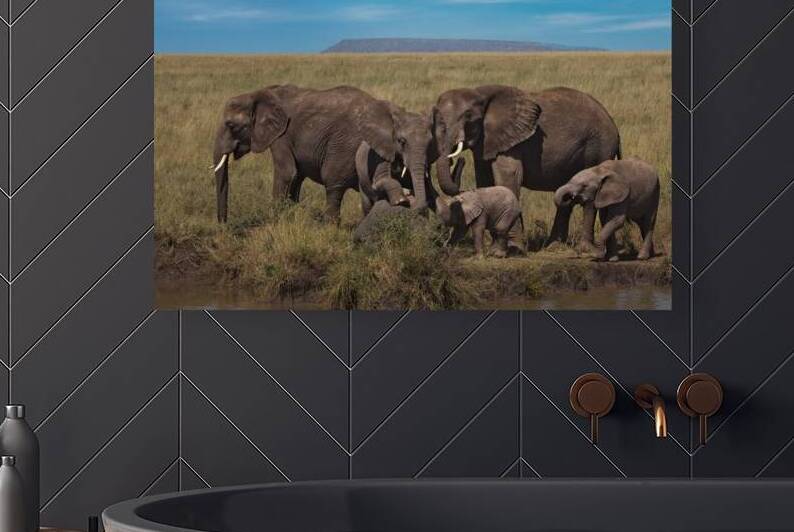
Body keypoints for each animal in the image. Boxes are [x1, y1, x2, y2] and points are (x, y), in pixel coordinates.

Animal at [212, 85, 435, 223]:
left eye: (230, 125)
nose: (223, 225)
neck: (258, 93)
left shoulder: (282, 136)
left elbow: (287, 173)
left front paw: (275, 222)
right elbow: (296, 177)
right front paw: (290, 216)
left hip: (343, 147)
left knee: (334, 186)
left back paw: (331, 226)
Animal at [432, 85, 622, 249]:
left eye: (469, 117)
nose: (457, 161)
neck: (480, 92)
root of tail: (613, 125)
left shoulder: (512, 142)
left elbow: (508, 177)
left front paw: (513, 247)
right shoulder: (485, 142)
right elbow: (485, 180)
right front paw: (496, 245)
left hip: (599, 146)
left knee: (589, 195)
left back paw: (584, 249)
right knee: (566, 194)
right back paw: (553, 246)